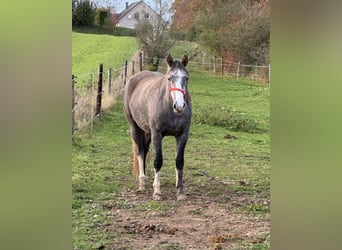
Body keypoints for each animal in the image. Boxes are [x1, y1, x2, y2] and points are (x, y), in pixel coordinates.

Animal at [123, 54, 192, 201]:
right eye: (169, 78)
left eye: (186, 78)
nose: (179, 106)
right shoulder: (157, 134)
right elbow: (158, 161)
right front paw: (157, 191)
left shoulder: (183, 135)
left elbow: (179, 161)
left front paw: (180, 191)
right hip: (135, 128)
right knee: (140, 152)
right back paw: (142, 182)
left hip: (147, 132)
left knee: (145, 150)